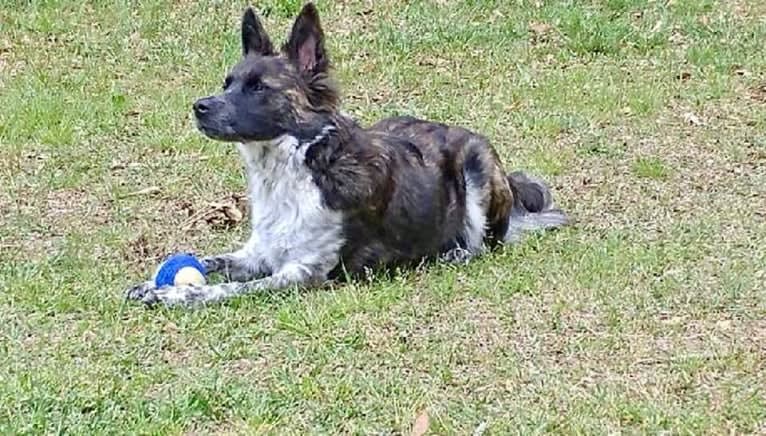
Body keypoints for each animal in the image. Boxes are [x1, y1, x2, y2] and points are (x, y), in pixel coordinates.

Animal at [126, 2, 568, 306]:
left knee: (483, 243)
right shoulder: (258, 252)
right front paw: (153, 283)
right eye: (228, 83)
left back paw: (455, 252)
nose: (198, 107)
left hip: (477, 166)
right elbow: (211, 261)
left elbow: (223, 289)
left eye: (259, 88)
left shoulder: (303, 273)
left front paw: (176, 296)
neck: (295, 170)